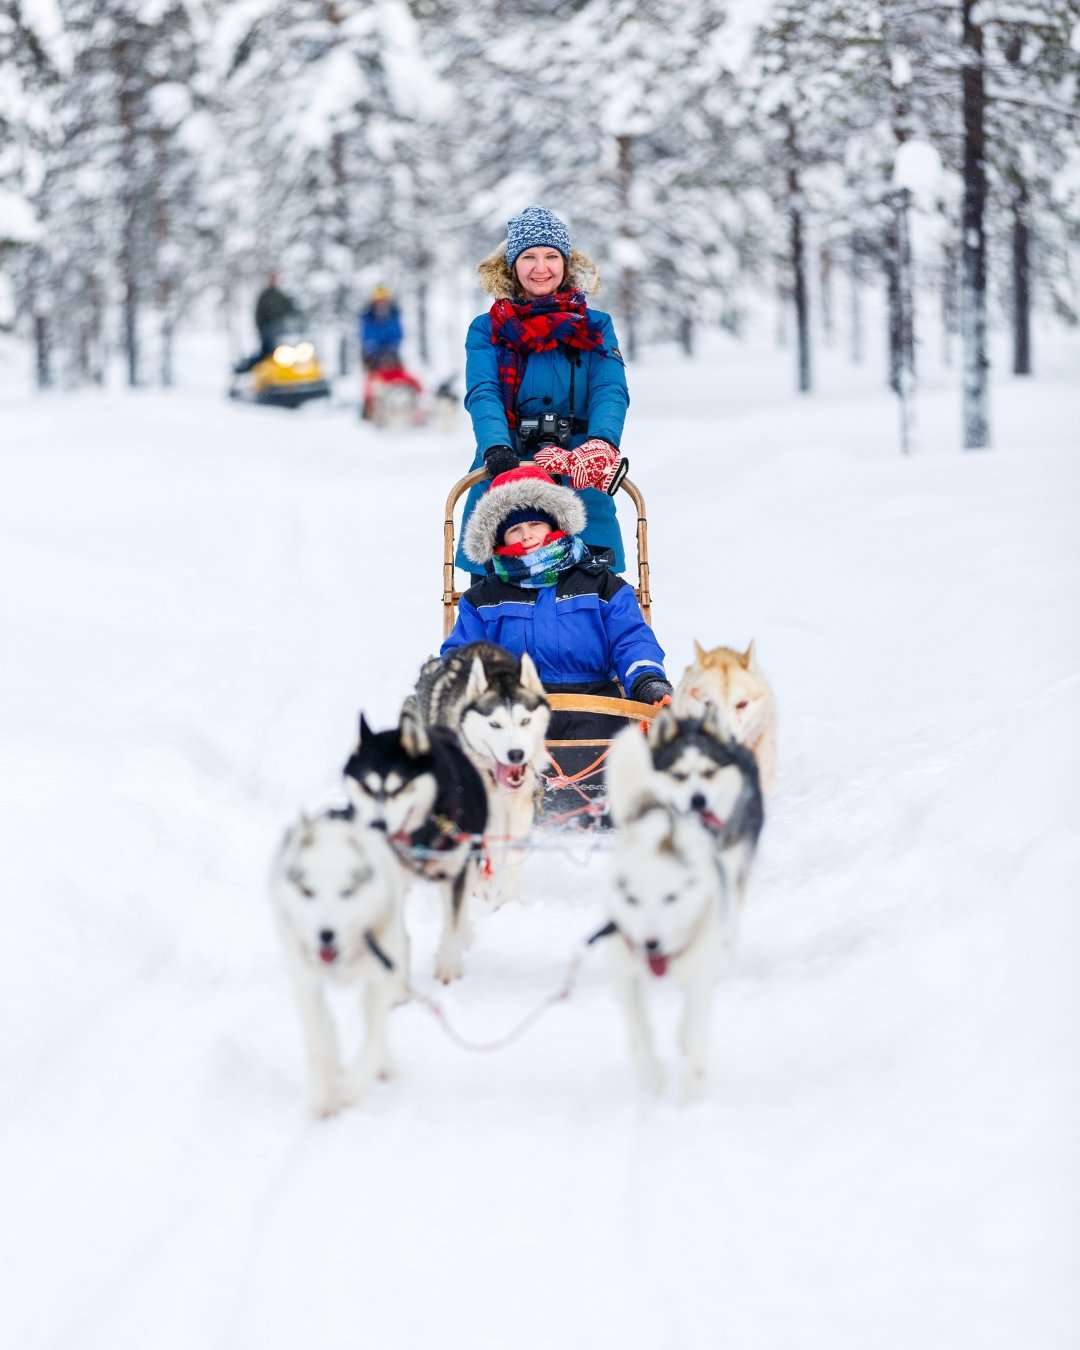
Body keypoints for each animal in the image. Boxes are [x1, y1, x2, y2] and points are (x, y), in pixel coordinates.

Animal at [267, 810, 407, 1117]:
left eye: (347, 891)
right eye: (308, 891)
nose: (326, 934)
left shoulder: (380, 980)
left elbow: (372, 1043)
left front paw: (350, 1089)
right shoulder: (306, 984)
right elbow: (318, 1043)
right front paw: (322, 1096)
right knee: (327, 1025)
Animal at [344, 707, 486, 982]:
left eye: (400, 786)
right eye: (366, 787)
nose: (378, 825)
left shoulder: (456, 873)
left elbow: (453, 920)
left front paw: (449, 965)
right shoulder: (394, 880)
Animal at [410, 642, 553, 907]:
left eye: (525, 721)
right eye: (494, 724)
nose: (516, 754)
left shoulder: (519, 804)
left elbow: (511, 849)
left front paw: (508, 900)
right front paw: (477, 890)